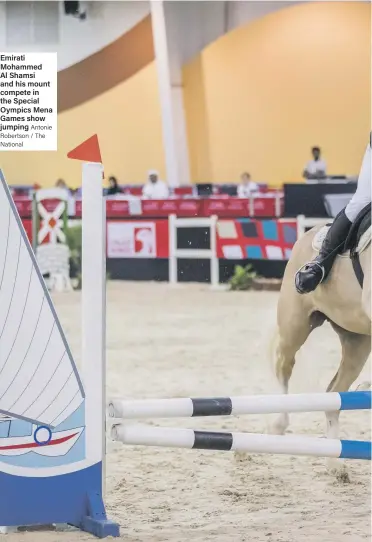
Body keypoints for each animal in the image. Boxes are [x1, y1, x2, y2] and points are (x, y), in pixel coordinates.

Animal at [272, 217, 370, 480]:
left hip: (357, 340)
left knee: (333, 394)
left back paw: (335, 463)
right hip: (296, 324)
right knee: (283, 365)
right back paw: (278, 424)